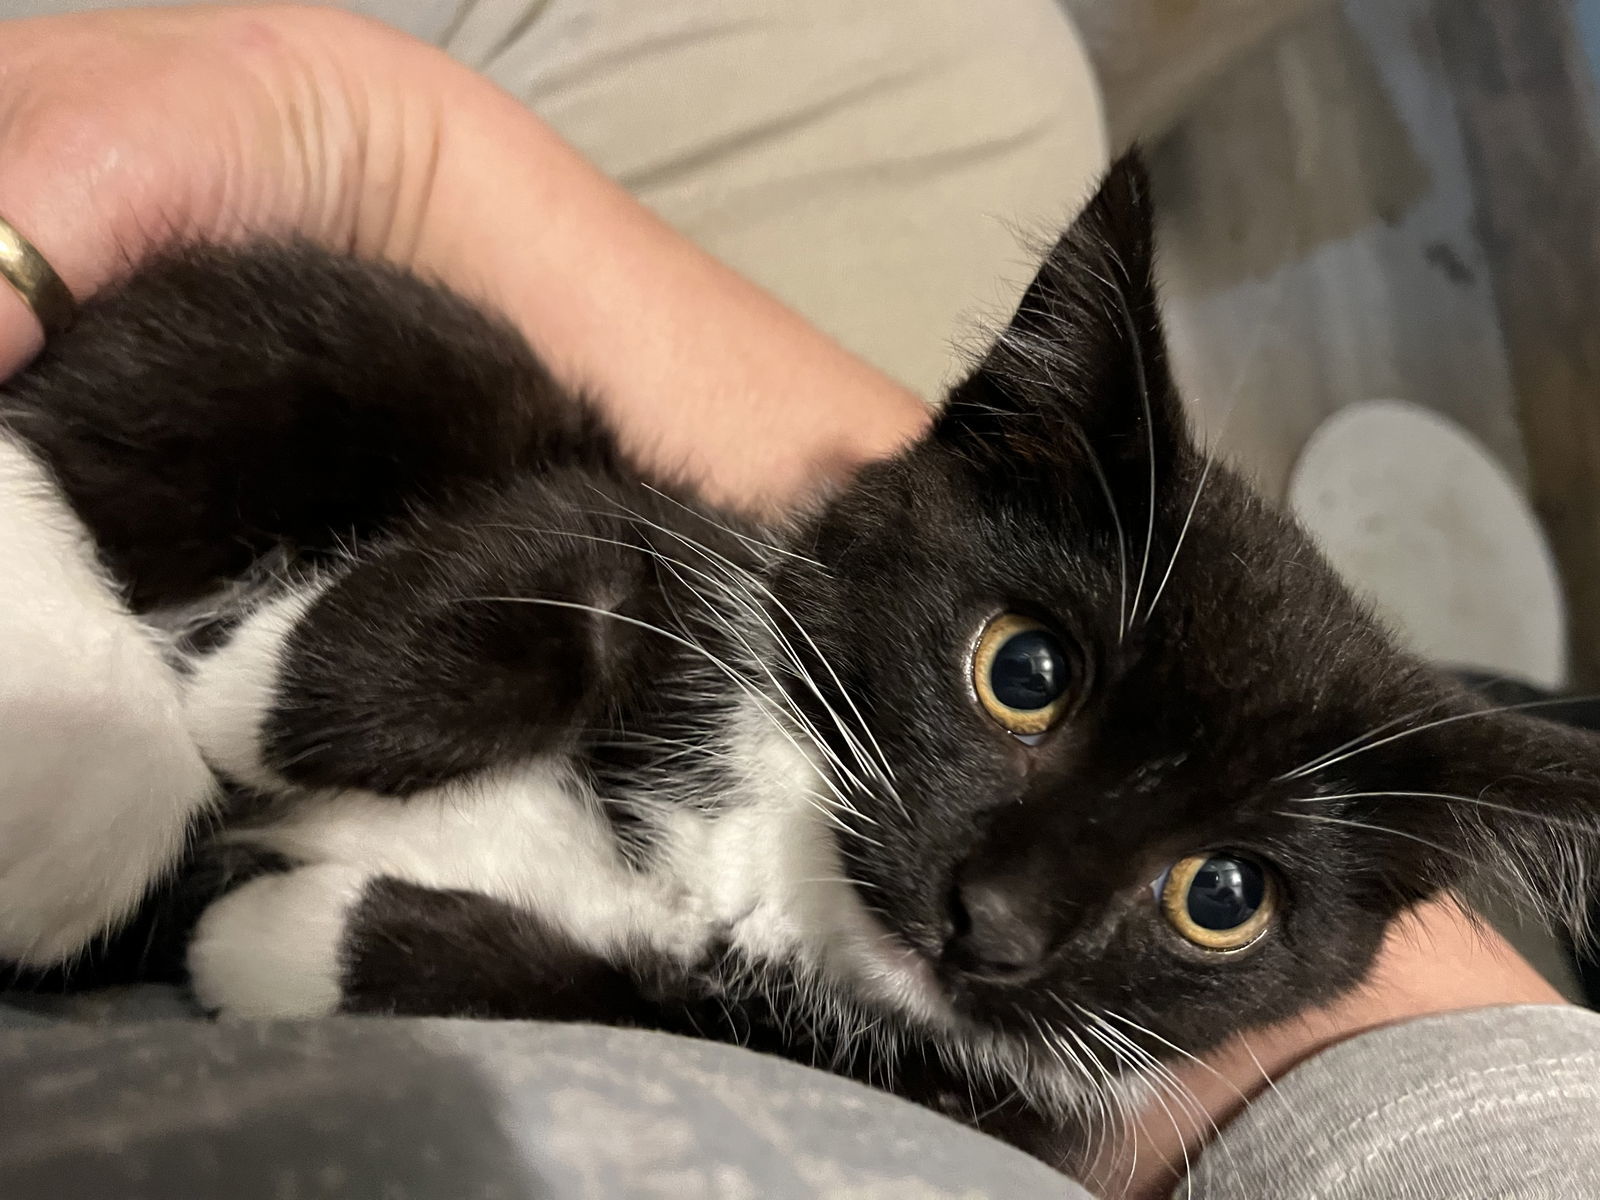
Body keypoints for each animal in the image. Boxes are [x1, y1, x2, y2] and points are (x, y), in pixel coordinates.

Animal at [3, 160, 1600, 1177]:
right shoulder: (664, 521)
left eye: (1223, 899)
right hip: (366, 334)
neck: (788, 865)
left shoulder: (950, 1093)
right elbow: (564, 544)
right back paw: (91, 760)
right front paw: (230, 704)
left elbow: (615, 1007)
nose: (994, 926)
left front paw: (284, 939)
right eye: (1025, 671)